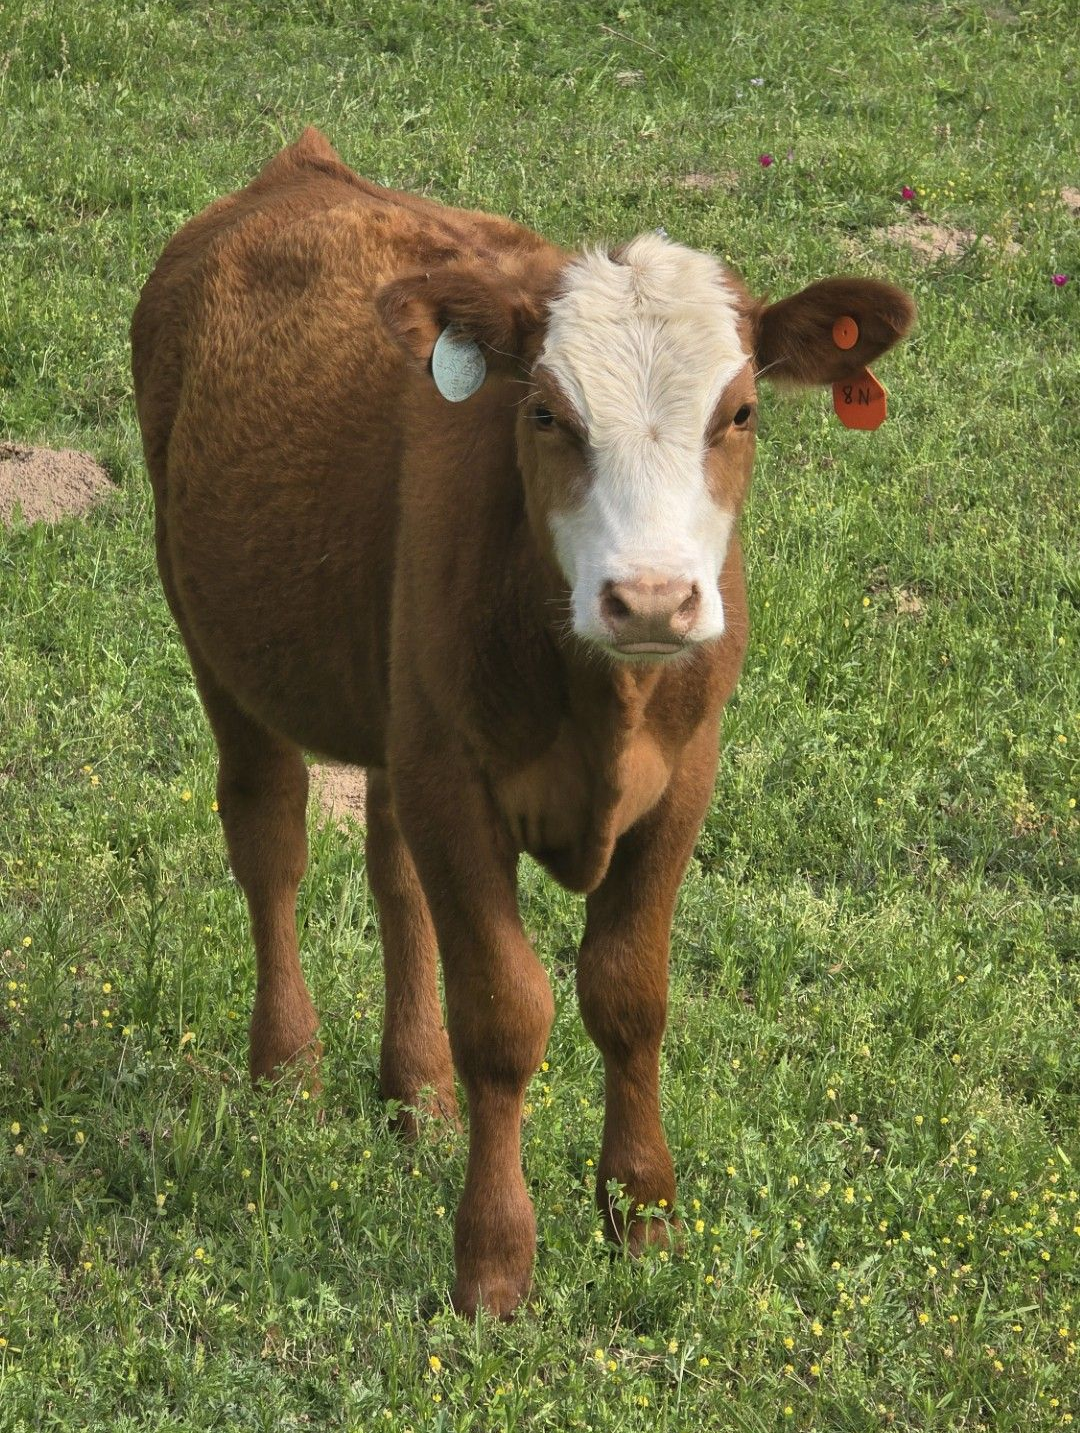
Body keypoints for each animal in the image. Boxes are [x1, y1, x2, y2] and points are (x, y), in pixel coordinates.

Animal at [131, 127, 914, 1317]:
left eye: (740, 412)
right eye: (546, 414)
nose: (651, 599)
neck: (604, 700)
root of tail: (299, 168)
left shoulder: (683, 776)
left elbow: (628, 994)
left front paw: (642, 1216)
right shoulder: (457, 779)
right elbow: (504, 1013)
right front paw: (495, 1263)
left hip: (395, 703)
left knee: (391, 867)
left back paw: (416, 1094)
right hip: (215, 635)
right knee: (270, 837)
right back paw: (287, 1071)